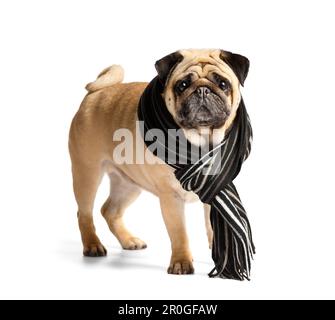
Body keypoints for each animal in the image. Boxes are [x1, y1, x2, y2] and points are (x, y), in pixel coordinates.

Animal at [69, 48, 249, 274]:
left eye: (223, 84)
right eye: (182, 85)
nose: (203, 90)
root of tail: (95, 93)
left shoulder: (217, 191)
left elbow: (214, 229)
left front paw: (222, 259)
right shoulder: (171, 197)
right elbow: (179, 233)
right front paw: (181, 262)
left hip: (128, 185)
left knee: (109, 211)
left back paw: (129, 240)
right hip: (87, 173)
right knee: (84, 213)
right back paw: (92, 245)